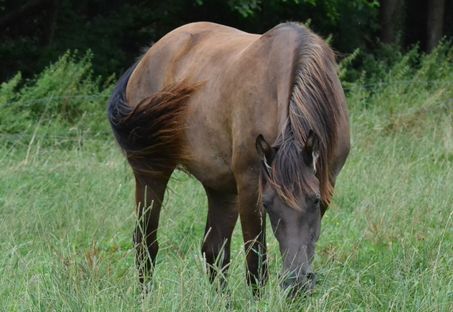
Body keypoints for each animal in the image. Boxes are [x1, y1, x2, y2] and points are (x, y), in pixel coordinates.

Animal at [108, 22, 350, 294]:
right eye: (268, 205)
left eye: (315, 200)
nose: (294, 284)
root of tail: (148, 56)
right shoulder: (250, 186)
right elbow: (256, 261)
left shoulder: (326, 183)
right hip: (151, 174)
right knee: (146, 242)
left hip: (221, 189)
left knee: (214, 250)